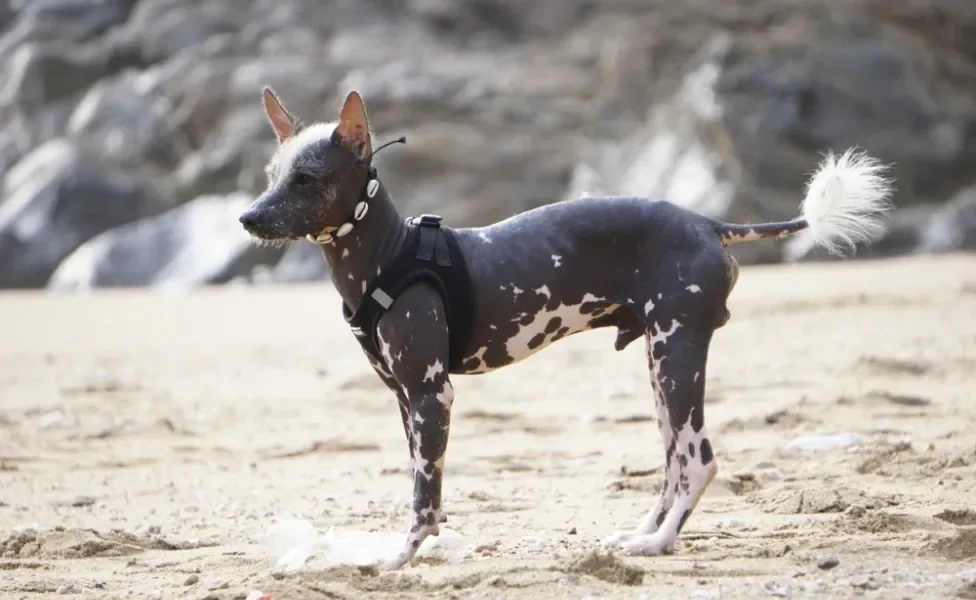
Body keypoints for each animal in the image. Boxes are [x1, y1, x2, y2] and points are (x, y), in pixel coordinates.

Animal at [240, 88, 896, 568]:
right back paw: (643, 533)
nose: (248, 217)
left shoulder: (432, 395)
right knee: (673, 461)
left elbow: (423, 496)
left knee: (699, 460)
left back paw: (659, 545)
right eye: (273, 172)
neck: (391, 255)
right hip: (661, 366)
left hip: (677, 353)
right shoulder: (406, 400)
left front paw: (401, 558)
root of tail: (708, 222)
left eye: (307, 179)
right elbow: (428, 487)